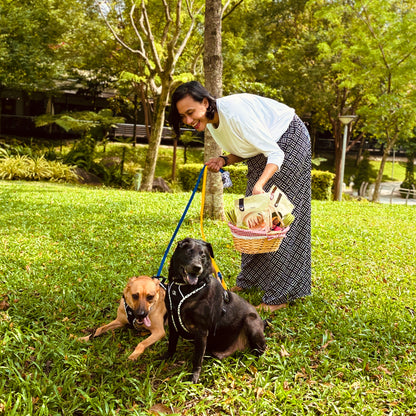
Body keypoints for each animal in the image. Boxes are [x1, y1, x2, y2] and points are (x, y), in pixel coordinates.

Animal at [163, 237, 264, 384]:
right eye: (189, 252)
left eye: (203, 255)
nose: (197, 268)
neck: (184, 287)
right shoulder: (172, 323)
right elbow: (171, 344)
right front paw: (166, 358)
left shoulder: (201, 331)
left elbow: (197, 358)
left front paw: (194, 377)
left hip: (251, 322)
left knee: (262, 350)